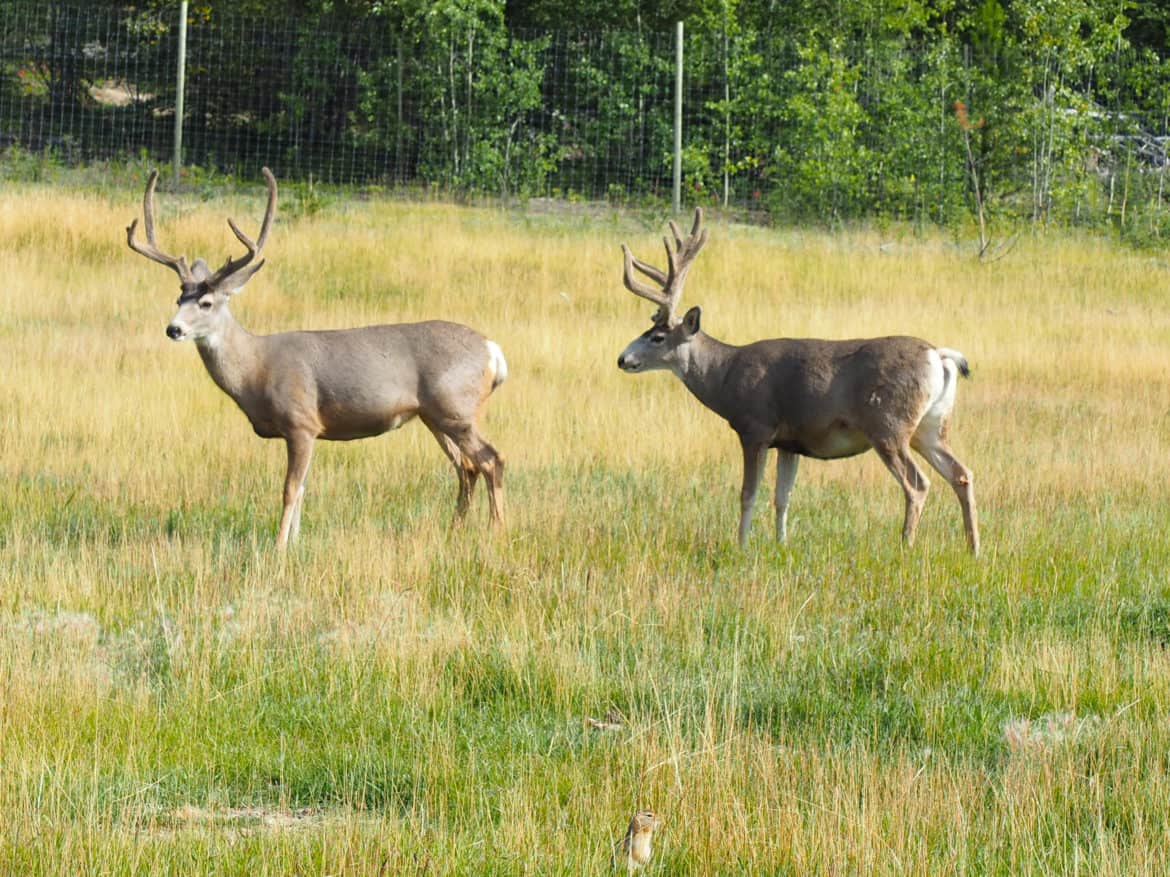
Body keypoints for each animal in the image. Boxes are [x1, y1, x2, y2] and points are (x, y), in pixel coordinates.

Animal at [129, 167, 507, 547]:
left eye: (206, 303)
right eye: (179, 299)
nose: (173, 329)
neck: (255, 371)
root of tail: (493, 351)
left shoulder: (302, 422)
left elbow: (290, 490)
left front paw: (279, 547)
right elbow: (303, 490)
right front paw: (295, 543)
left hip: (455, 406)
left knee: (491, 459)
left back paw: (497, 532)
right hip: (434, 415)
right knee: (466, 467)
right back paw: (455, 531)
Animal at [622, 209, 978, 556]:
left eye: (657, 337)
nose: (622, 359)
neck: (725, 376)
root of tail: (938, 355)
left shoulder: (755, 428)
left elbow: (748, 494)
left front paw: (741, 547)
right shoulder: (790, 442)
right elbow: (783, 497)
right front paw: (782, 544)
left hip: (888, 424)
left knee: (917, 484)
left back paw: (905, 548)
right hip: (930, 426)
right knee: (961, 474)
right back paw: (973, 549)